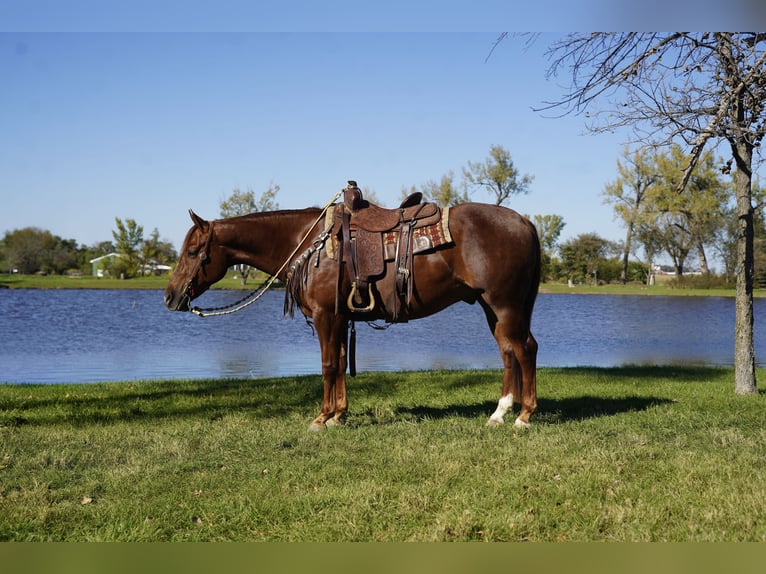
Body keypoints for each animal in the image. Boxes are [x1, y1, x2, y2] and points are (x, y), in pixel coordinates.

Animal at [164, 198, 541, 431]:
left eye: (194, 251)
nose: (170, 296)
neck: (306, 243)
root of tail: (524, 221)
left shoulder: (325, 317)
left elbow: (329, 365)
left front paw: (321, 418)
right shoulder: (342, 318)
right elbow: (343, 362)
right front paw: (339, 416)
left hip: (505, 305)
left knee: (525, 350)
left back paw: (523, 416)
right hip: (493, 308)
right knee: (509, 352)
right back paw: (499, 413)